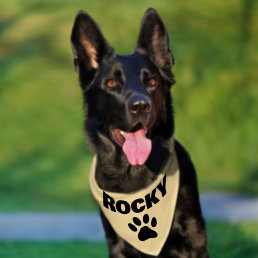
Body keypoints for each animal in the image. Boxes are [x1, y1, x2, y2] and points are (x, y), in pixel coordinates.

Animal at [71, 8, 209, 258]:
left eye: (152, 81)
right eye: (112, 83)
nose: (141, 106)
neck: (133, 175)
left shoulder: (193, 240)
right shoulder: (117, 247)